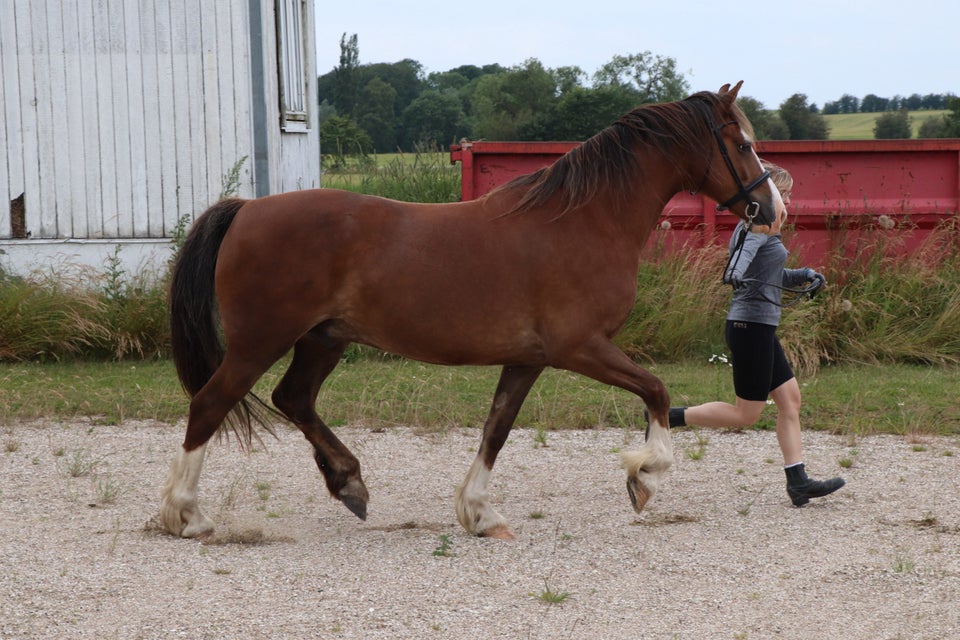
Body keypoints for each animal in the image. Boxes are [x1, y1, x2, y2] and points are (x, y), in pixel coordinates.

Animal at [161, 81, 784, 540]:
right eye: (743, 144)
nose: (773, 208)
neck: (584, 221)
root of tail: (245, 211)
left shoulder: (529, 358)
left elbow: (497, 428)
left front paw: (480, 513)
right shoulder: (580, 348)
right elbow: (656, 391)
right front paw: (645, 476)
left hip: (323, 338)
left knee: (293, 399)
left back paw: (349, 484)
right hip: (260, 341)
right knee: (210, 405)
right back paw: (187, 514)